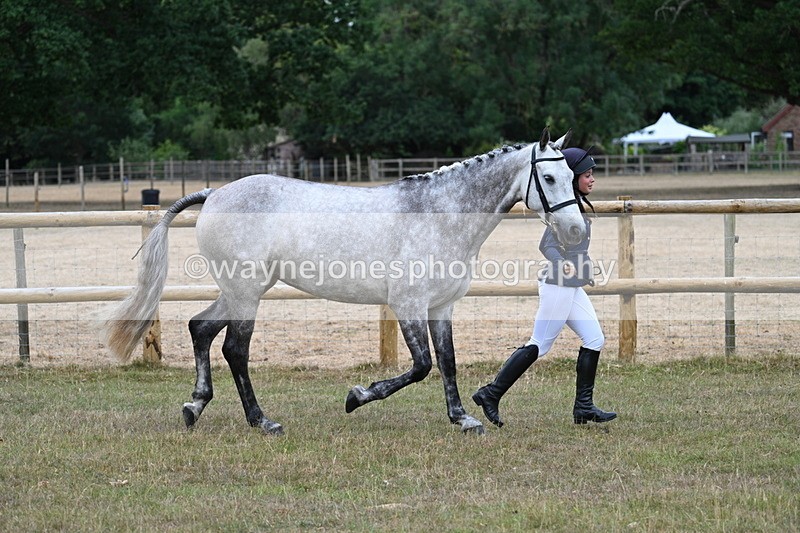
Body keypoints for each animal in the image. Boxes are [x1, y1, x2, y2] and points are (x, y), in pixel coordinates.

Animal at [102, 127, 584, 435]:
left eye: (571, 176)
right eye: (548, 176)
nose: (576, 230)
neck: (439, 214)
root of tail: (215, 193)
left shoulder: (440, 307)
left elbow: (447, 362)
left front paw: (463, 419)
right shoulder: (408, 306)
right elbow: (421, 366)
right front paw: (357, 396)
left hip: (241, 291)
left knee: (200, 329)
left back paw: (194, 407)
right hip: (246, 292)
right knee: (234, 350)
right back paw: (262, 421)